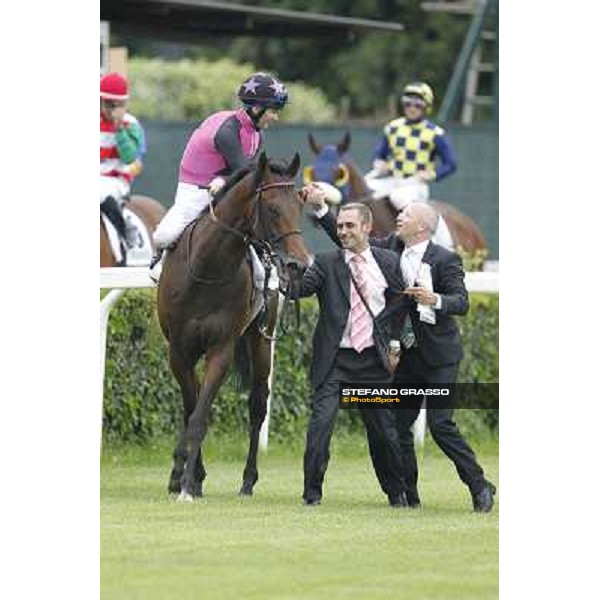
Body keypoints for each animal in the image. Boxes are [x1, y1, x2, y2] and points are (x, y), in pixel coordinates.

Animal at [157, 152, 312, 500]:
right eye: (272, 208)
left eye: (300, 206)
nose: (298, 265)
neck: (206, 269)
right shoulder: (179, 351)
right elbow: (191, 409)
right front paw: (188, 476)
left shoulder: (221, 349)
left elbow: (199, 416)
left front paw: (188, 484)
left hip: (261, 339)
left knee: (257, 405)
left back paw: (248, 480)